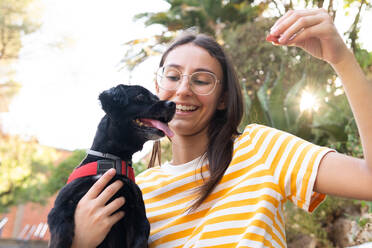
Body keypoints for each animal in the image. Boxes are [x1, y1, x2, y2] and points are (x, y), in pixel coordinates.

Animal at [47, 85, 176, 248]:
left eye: (157, 98)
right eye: (140, 96)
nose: (173, 104)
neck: (112, 160)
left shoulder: (138, 218)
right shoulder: (60, 206)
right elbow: (61, 233)